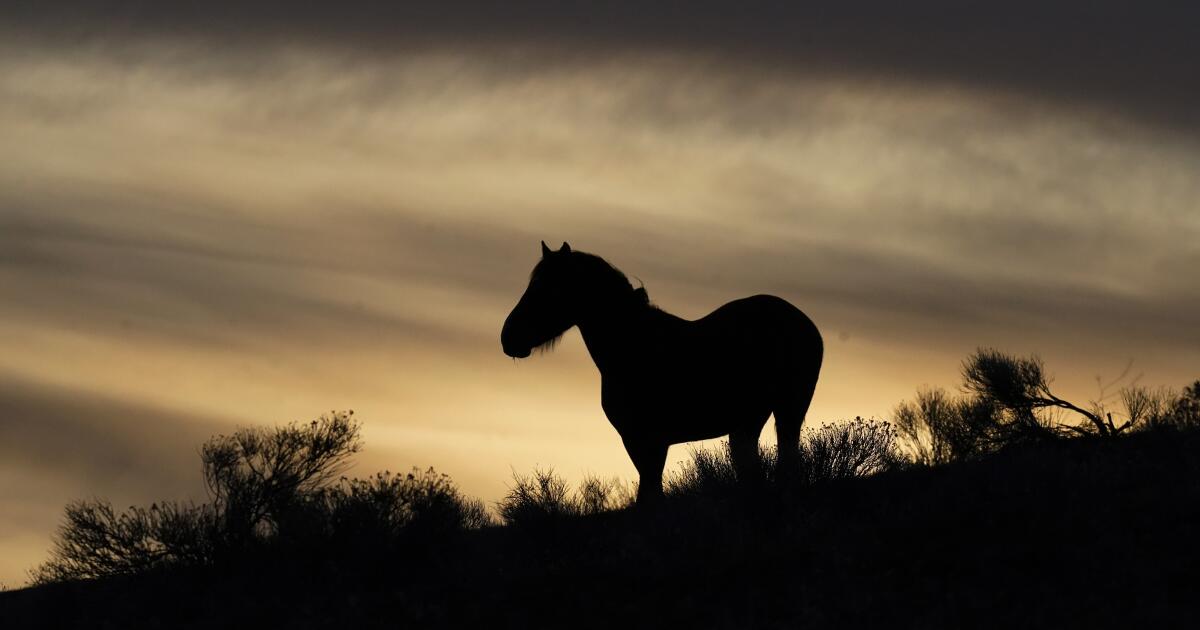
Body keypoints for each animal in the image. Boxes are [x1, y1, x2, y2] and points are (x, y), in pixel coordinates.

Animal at [499, 240, 825, 501]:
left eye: (548, 288)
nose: (508, 337)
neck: (636, 347)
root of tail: (803, 321)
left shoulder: (649, 441)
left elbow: (650, 496)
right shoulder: (638, 441)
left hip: (789, 410)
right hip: (749, 421)